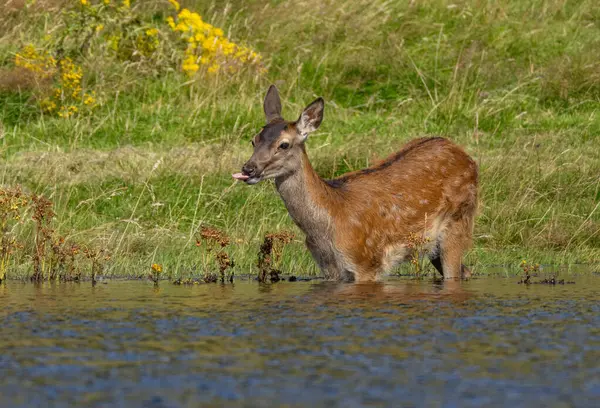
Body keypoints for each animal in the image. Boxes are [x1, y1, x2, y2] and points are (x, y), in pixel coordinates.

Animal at [233, 85, 478, 284]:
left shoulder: (366, 262)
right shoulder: (329, 269)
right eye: (254, 140)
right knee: (466, 271)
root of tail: (467, 157)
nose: (248, 168)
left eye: (283, 145)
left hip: (459, 221)